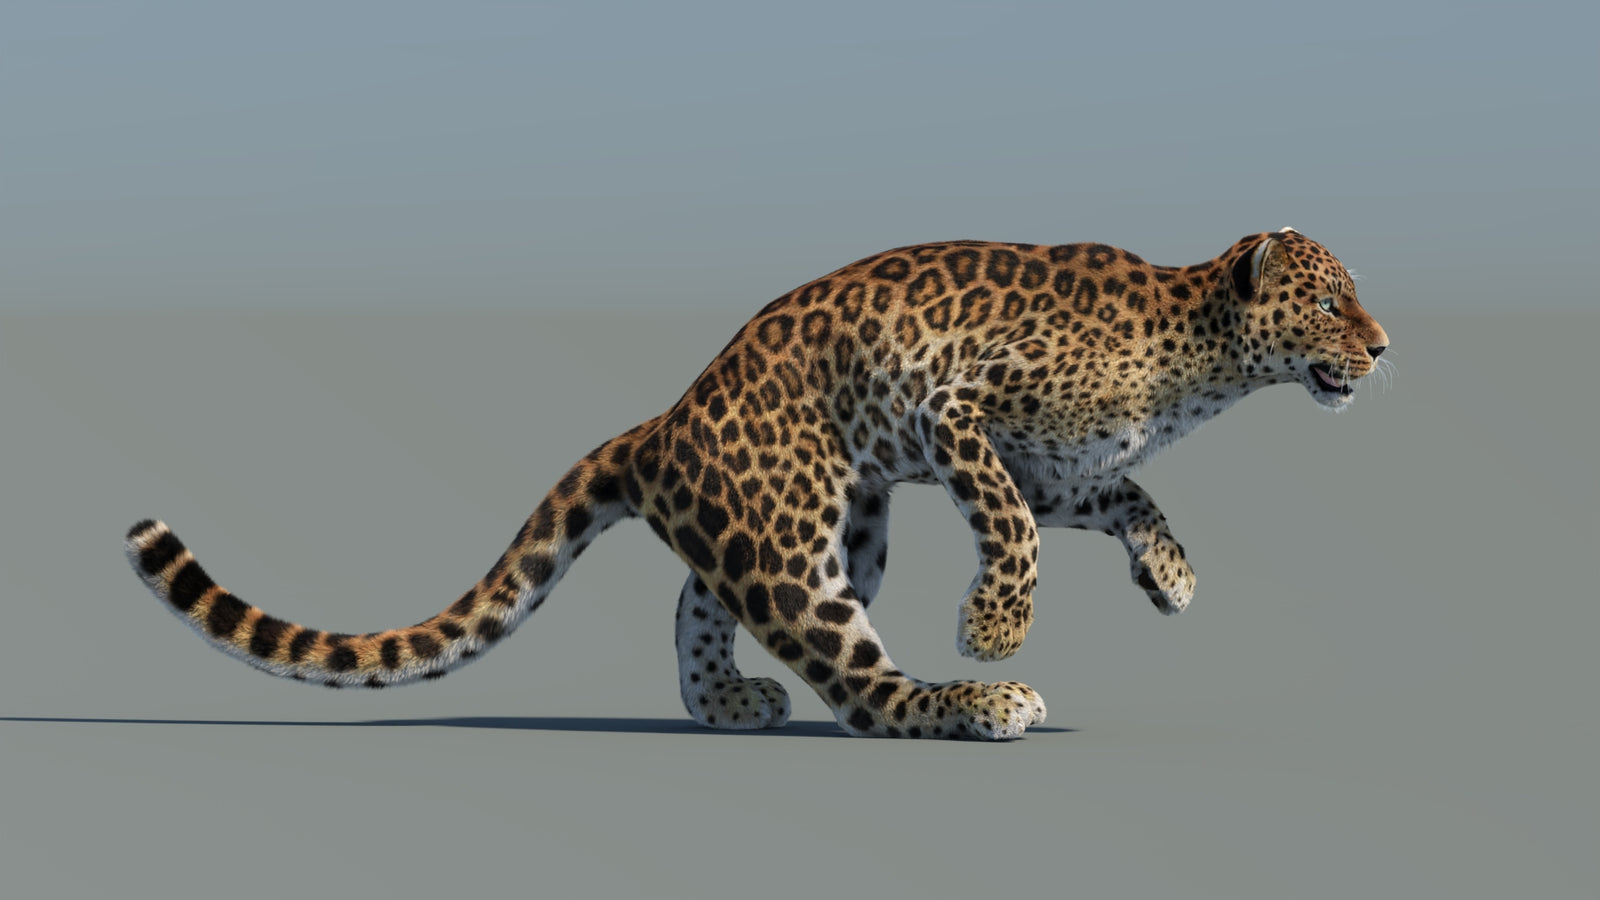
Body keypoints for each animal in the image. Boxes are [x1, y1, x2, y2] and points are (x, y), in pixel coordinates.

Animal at [125, 227, 1389, 740]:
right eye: (1333, 301)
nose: (1383, 347)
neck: (1199, 364)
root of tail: (666, 417)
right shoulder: (960, 410)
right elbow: (1013, 527)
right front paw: (994, 632)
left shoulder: (1064, 470)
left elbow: (1128, 500)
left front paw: (1170, 576)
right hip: (795, 536)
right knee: (862, 690)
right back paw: (974, 705)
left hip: (831, 527)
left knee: (699, 598)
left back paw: (725, 703)